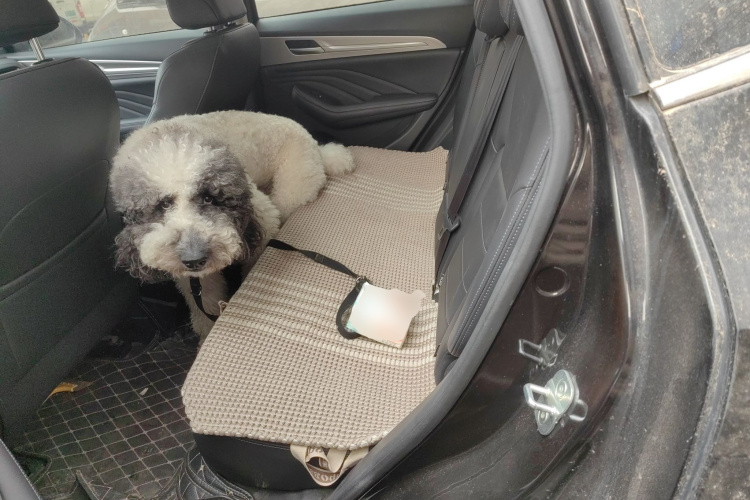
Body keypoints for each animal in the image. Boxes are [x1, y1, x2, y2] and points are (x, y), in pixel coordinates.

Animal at [110, 110, 355, 340]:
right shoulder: (189, 274)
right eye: (163, 204)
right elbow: (205, 295)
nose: (194, 259)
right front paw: (206, 330)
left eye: (209, 198)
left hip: (293, 186)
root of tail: (317, 146)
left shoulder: (263, 217)